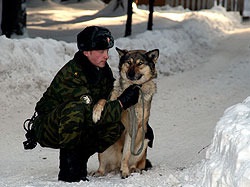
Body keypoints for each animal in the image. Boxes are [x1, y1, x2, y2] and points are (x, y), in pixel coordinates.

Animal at [93, 46, 159, 178]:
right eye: (128, 62)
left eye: (140, 63)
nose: (131, 74)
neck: (133, 88)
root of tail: (115, 166)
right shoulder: (112, 99)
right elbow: (102, 100)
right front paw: (96, 112)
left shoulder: (133, 127)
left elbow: (126, 155)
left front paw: (125, 172)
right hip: (103, 151)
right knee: (102, 165)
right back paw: (98, 172)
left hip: (143, 144)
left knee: (135, 162)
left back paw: (132, 169)